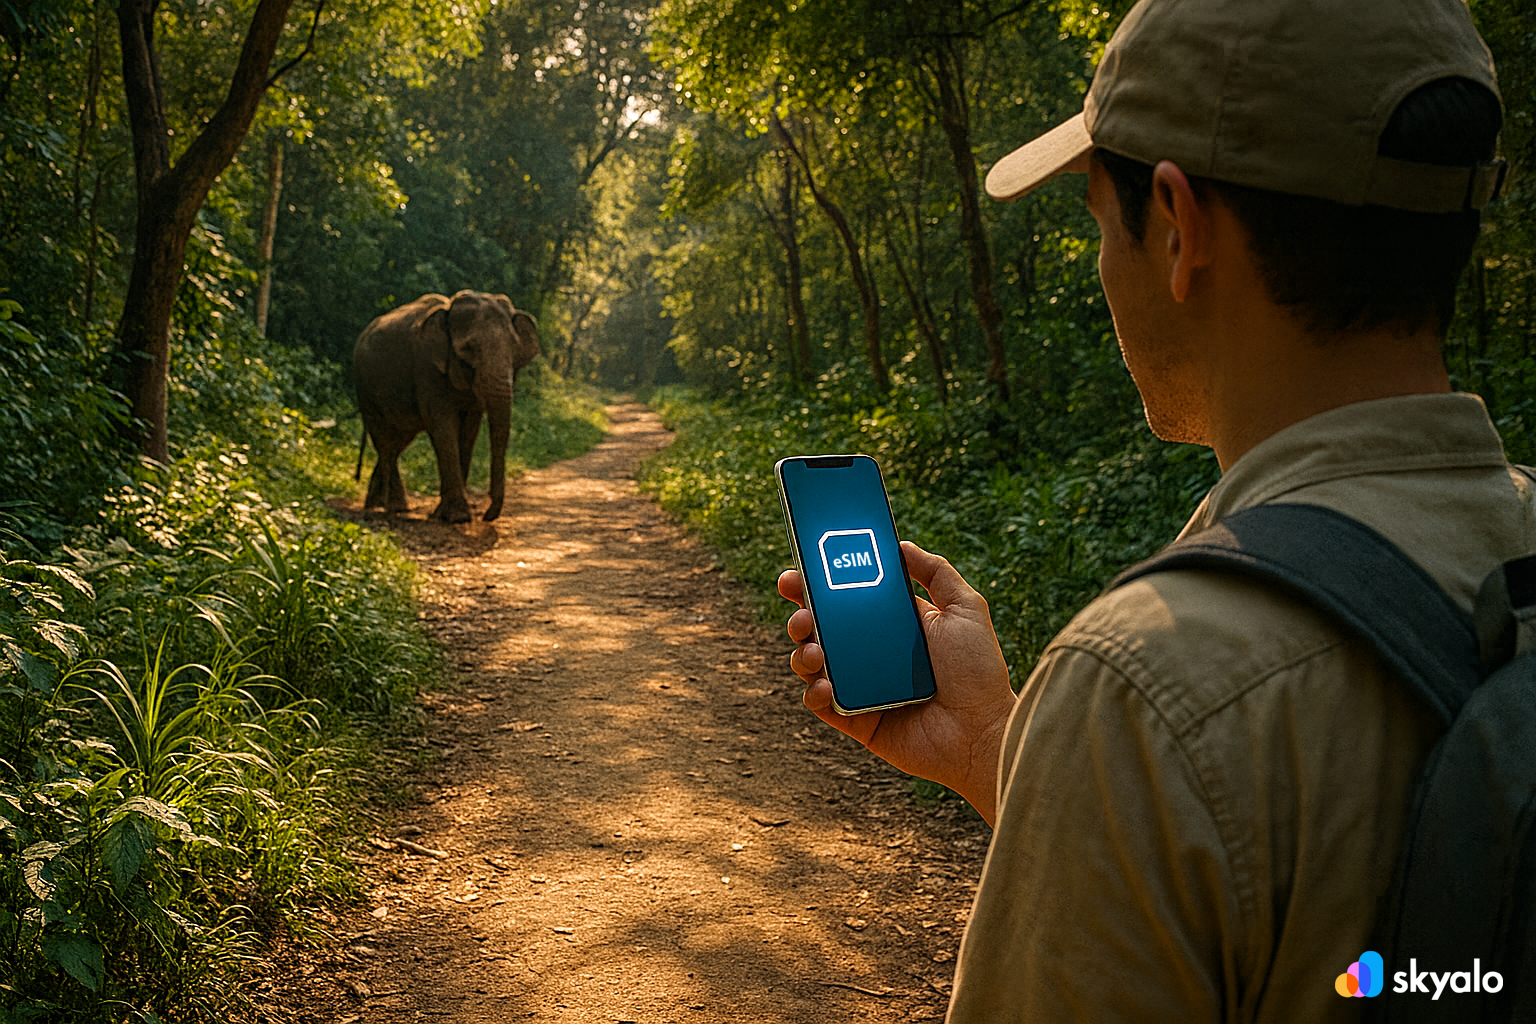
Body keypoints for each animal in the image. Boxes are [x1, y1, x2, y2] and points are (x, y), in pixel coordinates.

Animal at [353, 290, 542, 523]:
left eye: (515, 348)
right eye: (467, 349)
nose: (486, 514)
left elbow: (469, 430)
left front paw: (443, 514)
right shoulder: (426, 367)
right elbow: (443, 426)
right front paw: (458, 517)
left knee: (399, 439)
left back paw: (382, 505)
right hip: (365, 390)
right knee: (384, 439)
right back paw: (390, 507)